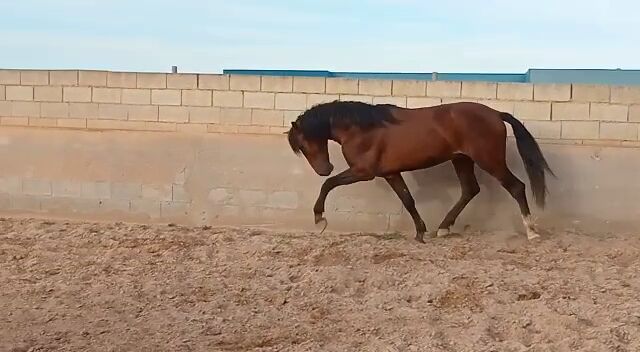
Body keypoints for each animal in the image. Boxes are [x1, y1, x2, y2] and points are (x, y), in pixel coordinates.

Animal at [288, 99, 552, 242]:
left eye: (303, 144)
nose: (325, 168)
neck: (362, 128)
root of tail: (496, 114)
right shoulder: (390, 173)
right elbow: (408, 200)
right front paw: (420, 233)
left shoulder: (363, 171)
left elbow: (329, 184)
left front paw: (319, 218)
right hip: (462, 160)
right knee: (470, 190)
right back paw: (443, 229)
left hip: (489, 160)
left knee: (516, 187)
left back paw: (532, 232)